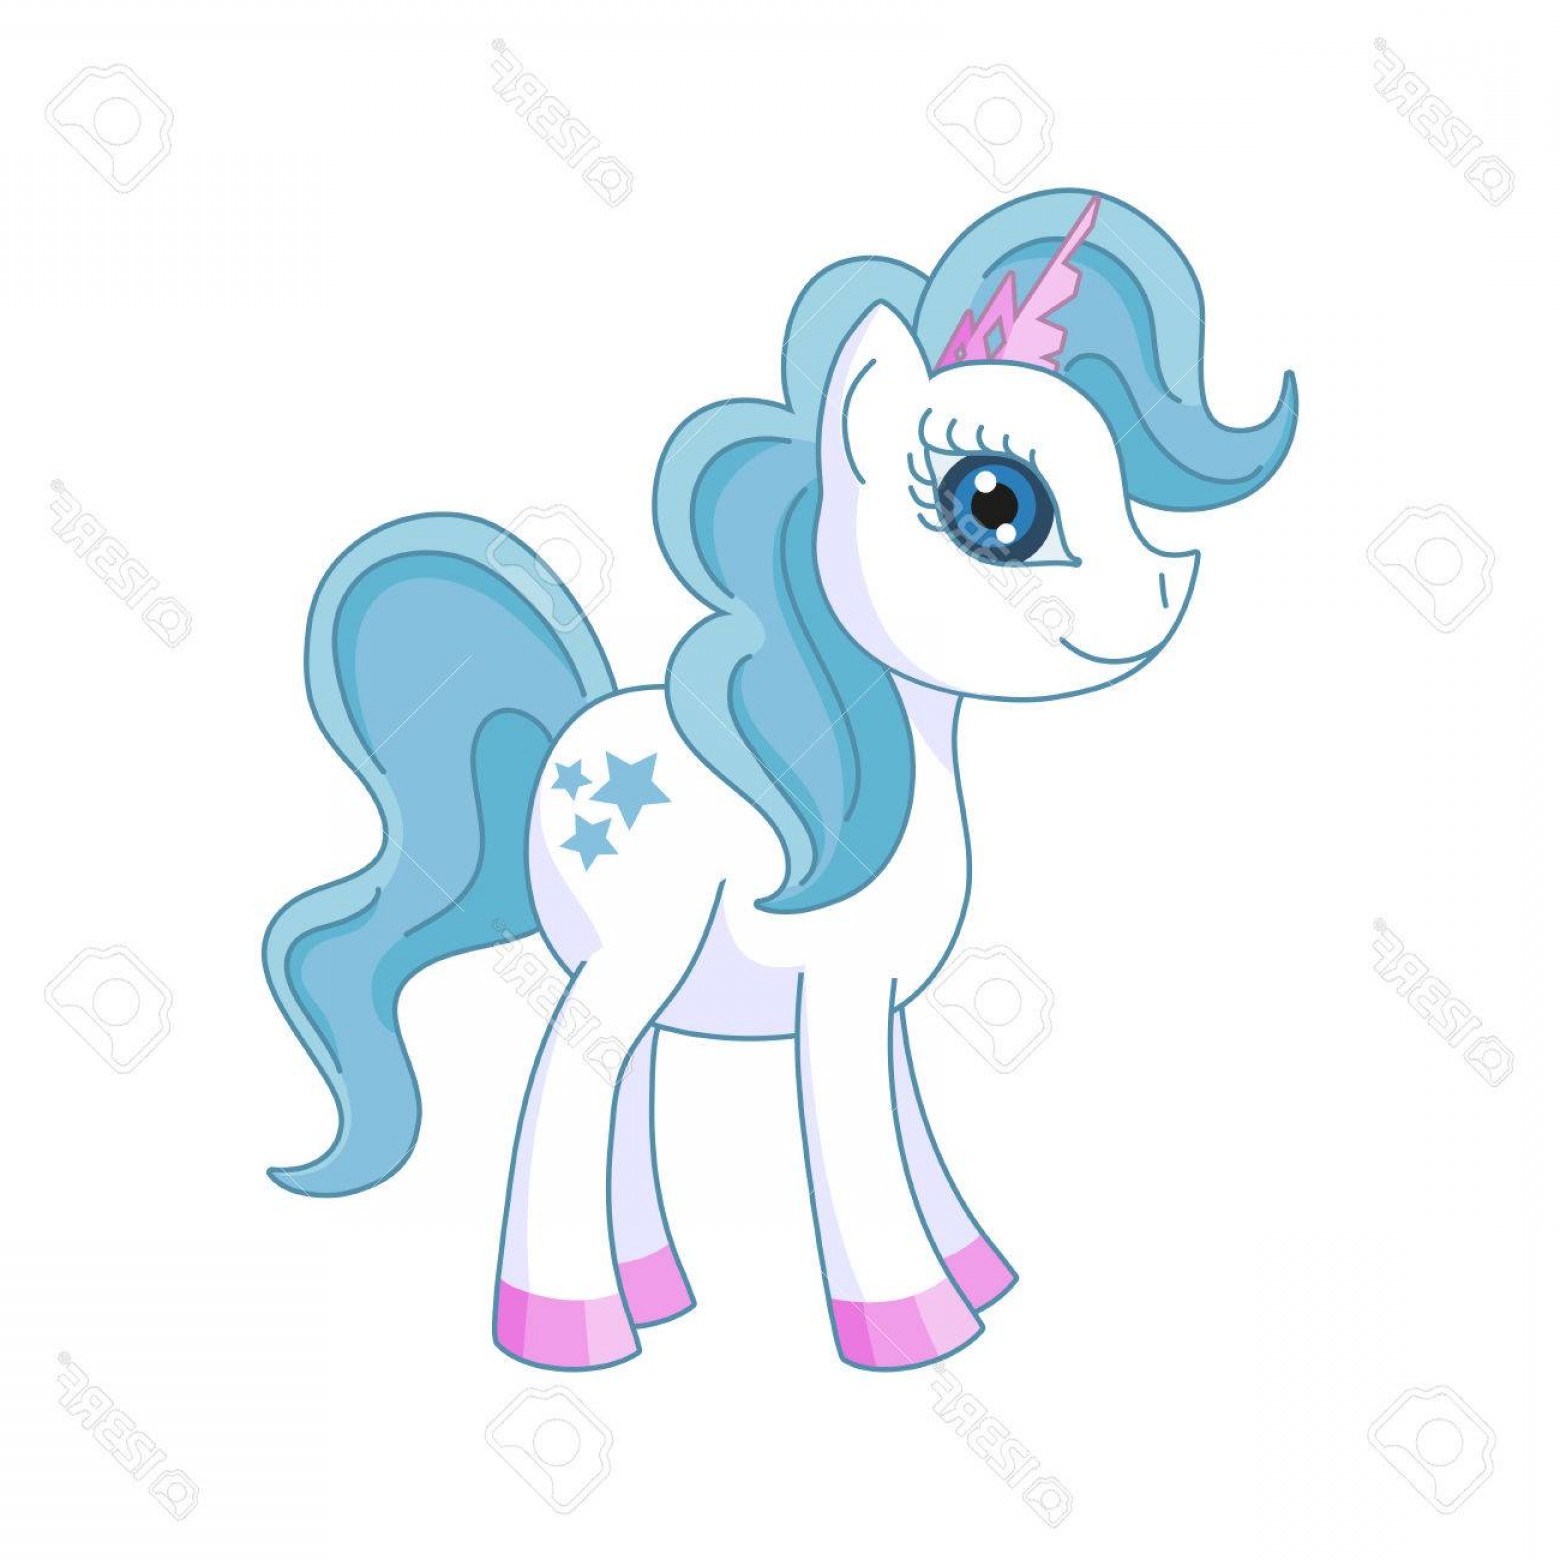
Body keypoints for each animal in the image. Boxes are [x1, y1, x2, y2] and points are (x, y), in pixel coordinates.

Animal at [263, 189, 1296, 1371]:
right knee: (572, 1082)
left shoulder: (881, 1001)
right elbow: (856, 1151)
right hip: (633, 955)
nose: (1165, 596)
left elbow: (909, 1136)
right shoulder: (838, 1001)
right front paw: (912, 1329)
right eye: (995, 505)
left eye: (1120, 478)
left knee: (622, 1086)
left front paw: (977, 1278)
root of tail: (561, 740)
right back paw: (571, 1330)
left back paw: (652, 1294)